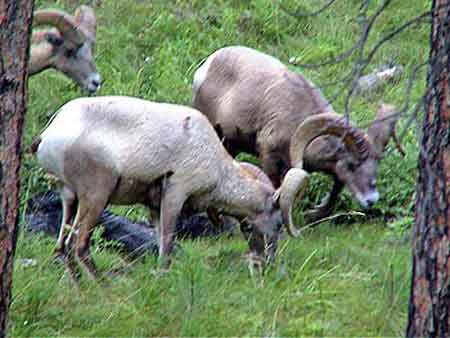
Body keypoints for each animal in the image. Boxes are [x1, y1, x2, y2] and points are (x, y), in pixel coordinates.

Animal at [33, 95, 360, 280]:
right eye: (278, 223)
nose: (267, 261)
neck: (216, 165)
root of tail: (50, 133)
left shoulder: (153, 206)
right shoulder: (175, 194)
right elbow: (166, 246)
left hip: (69, 197)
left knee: (61, 249)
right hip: (95, 197)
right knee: (78, 246)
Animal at [192, 46, 402, 223]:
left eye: (376, 164)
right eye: (352, 165)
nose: (371, 200)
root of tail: (205, 67)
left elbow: (335, 189)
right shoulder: (269, 156)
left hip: (231, 145)